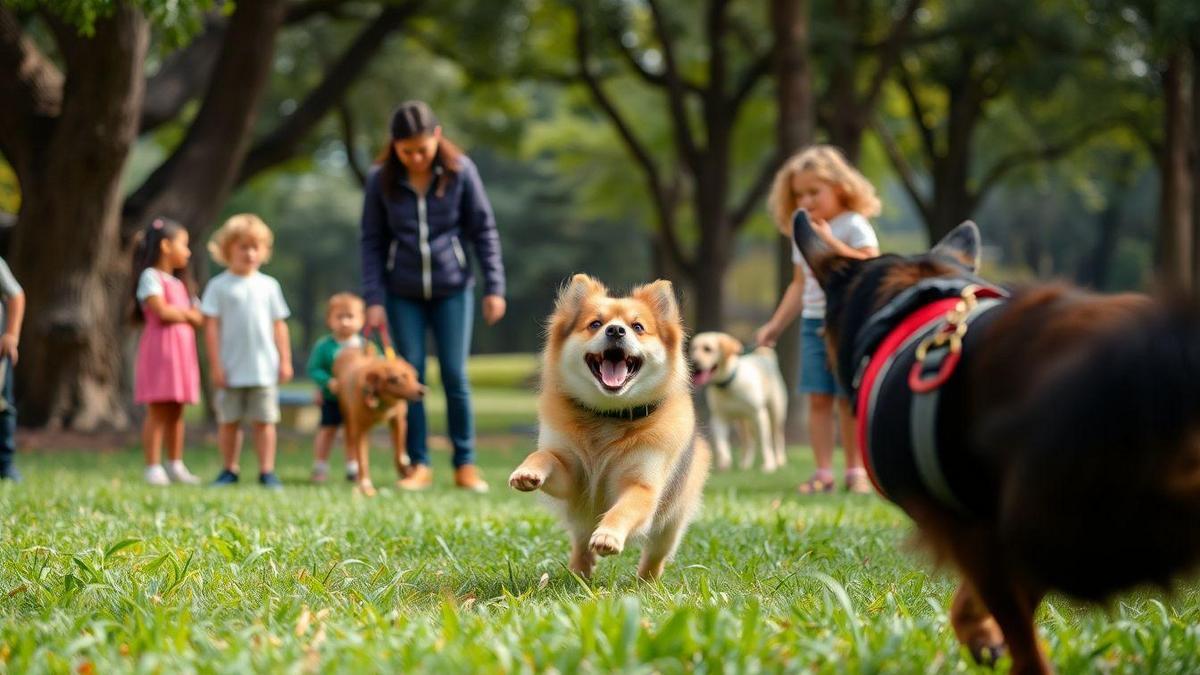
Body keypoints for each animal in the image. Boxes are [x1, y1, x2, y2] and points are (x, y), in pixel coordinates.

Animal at [333, 341, 427, 494]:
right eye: (396, 379)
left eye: (415, 376)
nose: (423, 391)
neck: (383, 403)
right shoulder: (361, 430)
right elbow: (363, 459)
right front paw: (365, 486)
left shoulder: (399, 422)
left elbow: (399, 454)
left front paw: (405, 470)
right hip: (348, 418)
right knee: (350, 443)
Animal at [508, 273, 710, 578]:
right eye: (595, 324)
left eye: (638, 327)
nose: (616, 330)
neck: (609, 415)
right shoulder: (572, 479)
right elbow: (546, 456)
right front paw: (527, 471)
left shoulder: (642, 486)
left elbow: (623, 509)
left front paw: (608, 536)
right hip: (580, 518)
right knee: (580, 541)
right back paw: (579, 570)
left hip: (671, 522)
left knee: (656, 554)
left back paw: (646, 581)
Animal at [686, 331, 787, 470]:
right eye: (693, 348)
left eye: (708, 349)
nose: (694, 362)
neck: (729, 385)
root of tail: (765, 358)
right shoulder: (719, 417)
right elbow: (721, 443)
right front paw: (724, 461)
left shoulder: (759, 416)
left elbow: (765, 444)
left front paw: (769, 465)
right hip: (740, 422)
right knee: (748, 441)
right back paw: (745, 464)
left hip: (775, 412)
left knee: (777, 437)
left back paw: (780, 460)